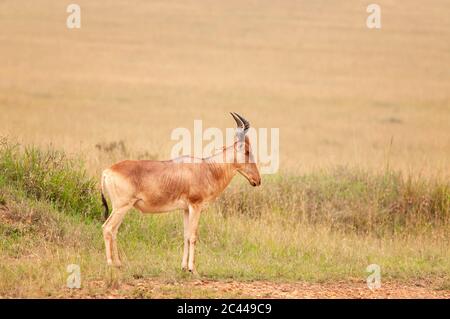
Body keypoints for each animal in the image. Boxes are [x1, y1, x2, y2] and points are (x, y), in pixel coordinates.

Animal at [98, 112, 260, 272]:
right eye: (247, 151)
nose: (257, 180)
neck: (206, 168)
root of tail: (107, 171)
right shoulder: (195, 206)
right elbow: (193, 235)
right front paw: (192, 269)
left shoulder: (186, 209)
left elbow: (186, 236)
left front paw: (183, 267)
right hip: (121, 207)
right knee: (108, 228)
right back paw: (111, 263)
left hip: (122, 208)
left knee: (114, 231)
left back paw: (119, 263)